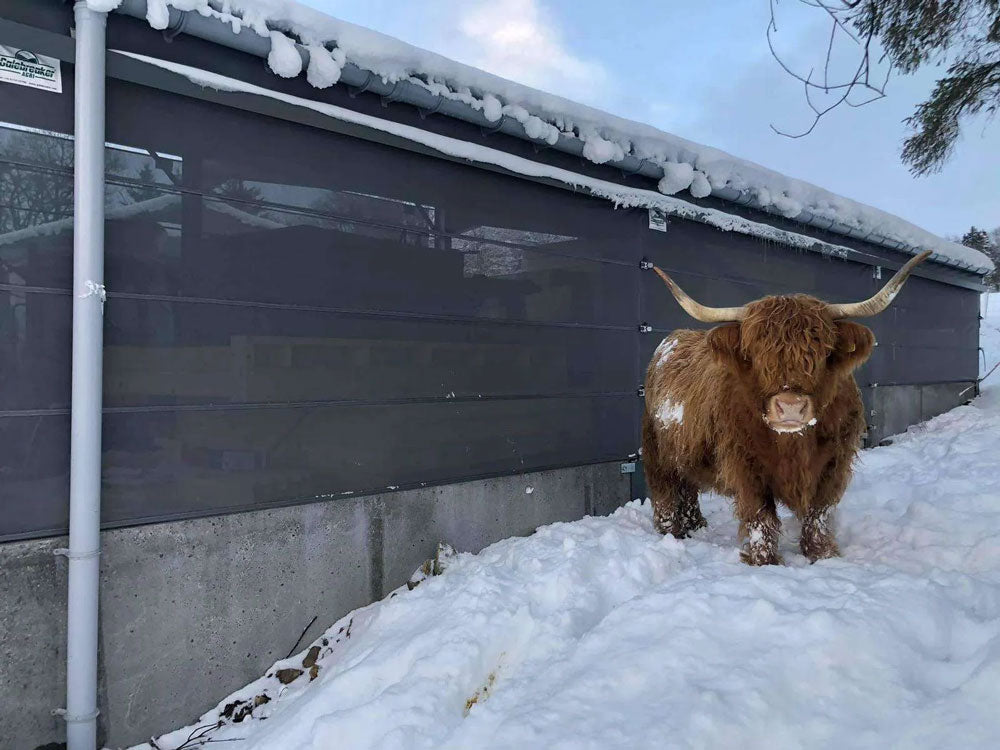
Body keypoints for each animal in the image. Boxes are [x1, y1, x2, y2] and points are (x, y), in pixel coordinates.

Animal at [640, 251, 928, 564]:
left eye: (823, 352)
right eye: (753, 353)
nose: (790, 407)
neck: (794, 445)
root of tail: (672, 339)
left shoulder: (834, 462)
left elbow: (819, 512)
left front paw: (822, 554)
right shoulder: (745, 465)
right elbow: (760, 516)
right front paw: (764, 560)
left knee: (688, 487)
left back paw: (696, 526)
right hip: (656, 449)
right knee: (665, 491)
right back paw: (672, 532)